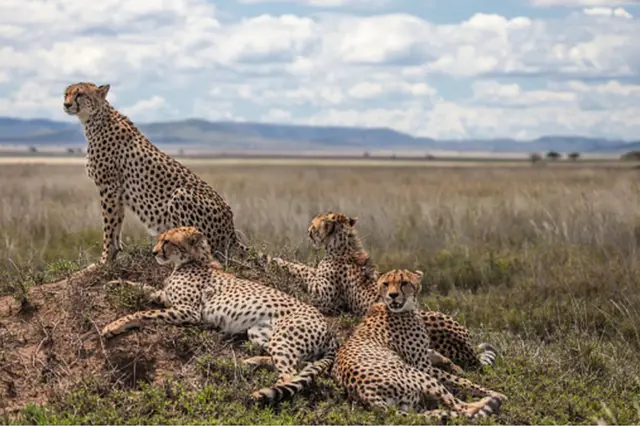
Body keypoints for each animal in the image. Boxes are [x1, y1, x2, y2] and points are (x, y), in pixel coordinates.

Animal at [63, 82, 258, 271]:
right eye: (66, 93)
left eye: (80, 94)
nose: (66, 104)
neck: (96, 119)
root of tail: (231, 231)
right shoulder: (116, 191)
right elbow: (116, 223)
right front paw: (114, 255)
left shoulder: (108, 187)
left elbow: (109, 226)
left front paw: (104, 260)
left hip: (180, 195)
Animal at [100, 226, 337, 403]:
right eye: (160, 240)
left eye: (167, 241)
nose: (154, 252)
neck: (192, 260)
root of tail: (329, 329)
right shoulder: (166, 297)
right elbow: (141, 286)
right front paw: (114, 283)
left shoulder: (188, 311)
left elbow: (144, 312)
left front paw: (113, 326)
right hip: (259, 332)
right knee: (299, 364)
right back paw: (251, 361)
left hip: (283, 337)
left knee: (290, 374)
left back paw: (265, 392)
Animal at [269, 211, 498, 373]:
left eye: (315, 223)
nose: (308, 230)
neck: (342, 244)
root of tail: (468, 347)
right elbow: (306, 268)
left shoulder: (324, 297)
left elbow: (301, 269)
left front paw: (275, 260)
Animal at [331, 269, 507, 421]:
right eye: (385, 284)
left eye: (404, 283)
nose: (393, 295)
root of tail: (365, 393)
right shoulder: (423, 367)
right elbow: (461, 381)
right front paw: (494, 392)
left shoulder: (423, 356)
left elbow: (435, 353)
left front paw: (454, 366)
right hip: (419, 376)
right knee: (462, 408)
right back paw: (488, 401)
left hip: (412, 404)